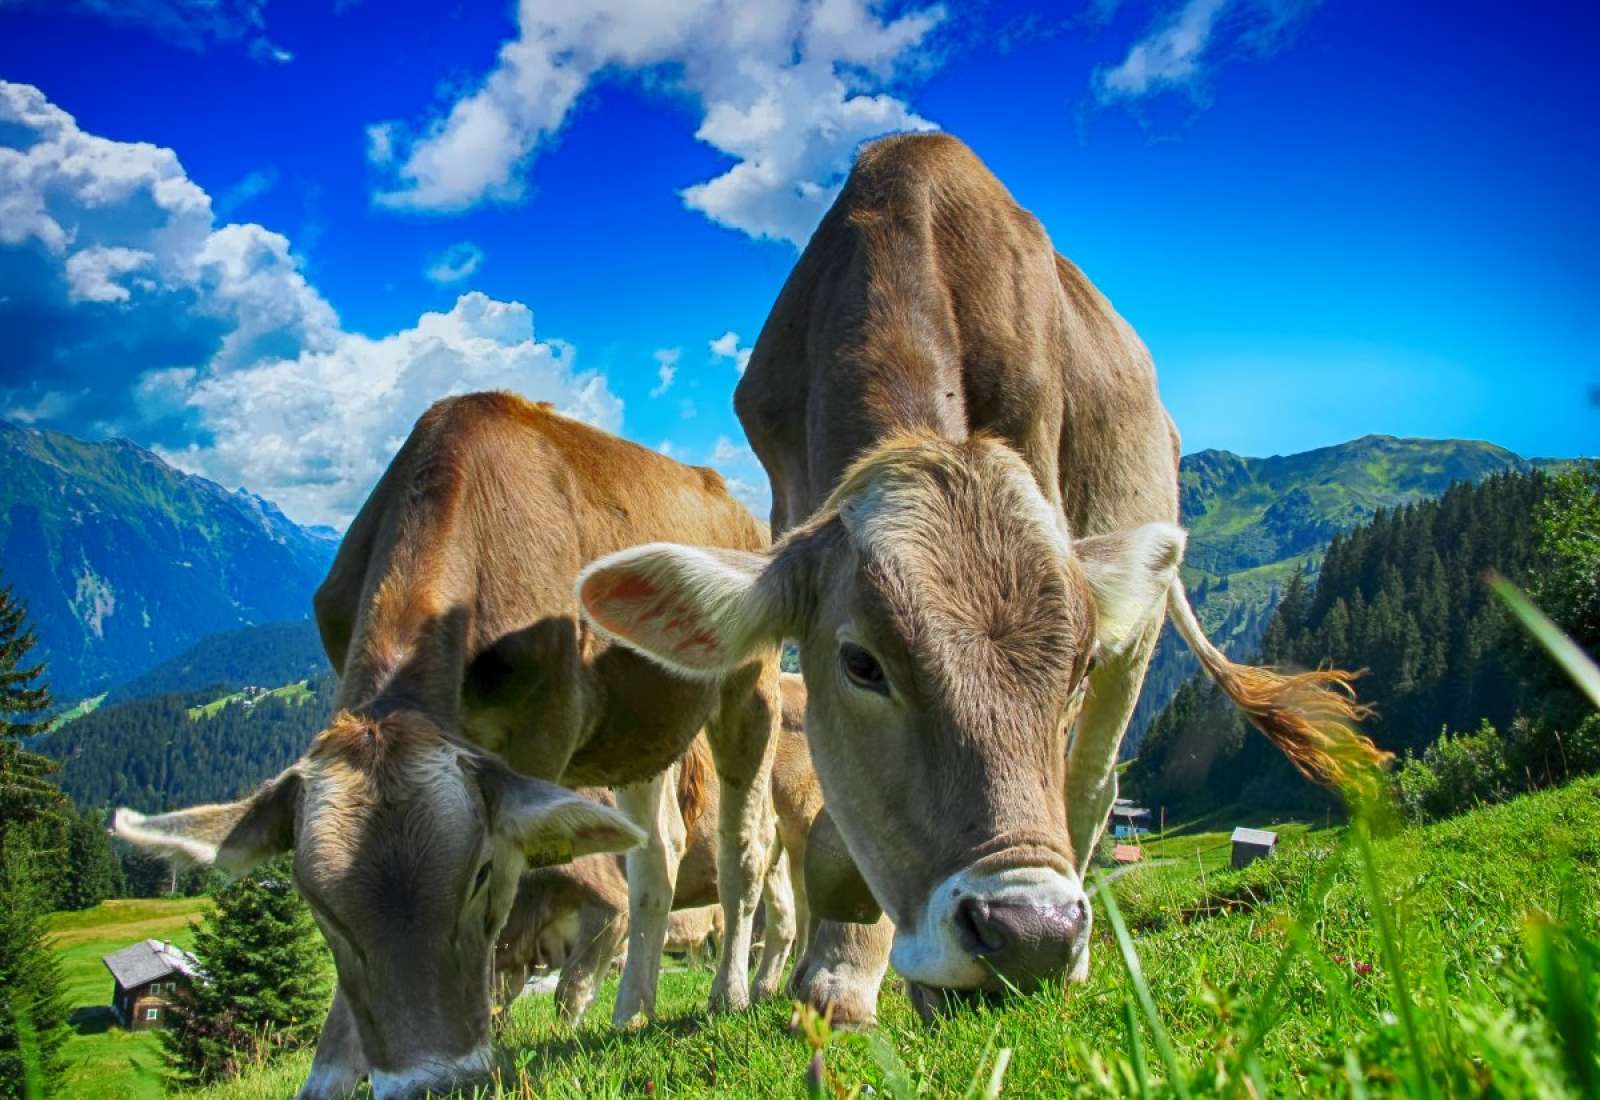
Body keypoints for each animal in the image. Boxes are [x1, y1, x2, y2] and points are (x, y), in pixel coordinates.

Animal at [113, 392, 783, 1099]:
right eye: (317, 906)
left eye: (480, 875)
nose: (431, 1082)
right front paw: (331, 1073)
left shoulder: (540, 737)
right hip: (639, 730)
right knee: (657, 855)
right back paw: (632, 1011)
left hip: (750, 686)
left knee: (746, 845)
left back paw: (730, 994)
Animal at [495, 674, 819, 1022]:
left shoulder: (609, 903)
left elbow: (570, 988)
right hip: (775, 852)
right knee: (783, 915)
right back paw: (764, 989)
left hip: (802, 824)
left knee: (807, 906)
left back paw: (793, 982)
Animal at [577, 133, 1387, 1024]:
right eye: (861, 664)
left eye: (1074, 665)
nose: (1031, 934)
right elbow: (834, 824)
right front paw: (836, 975)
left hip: (1138, 631)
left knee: (1093, 784)